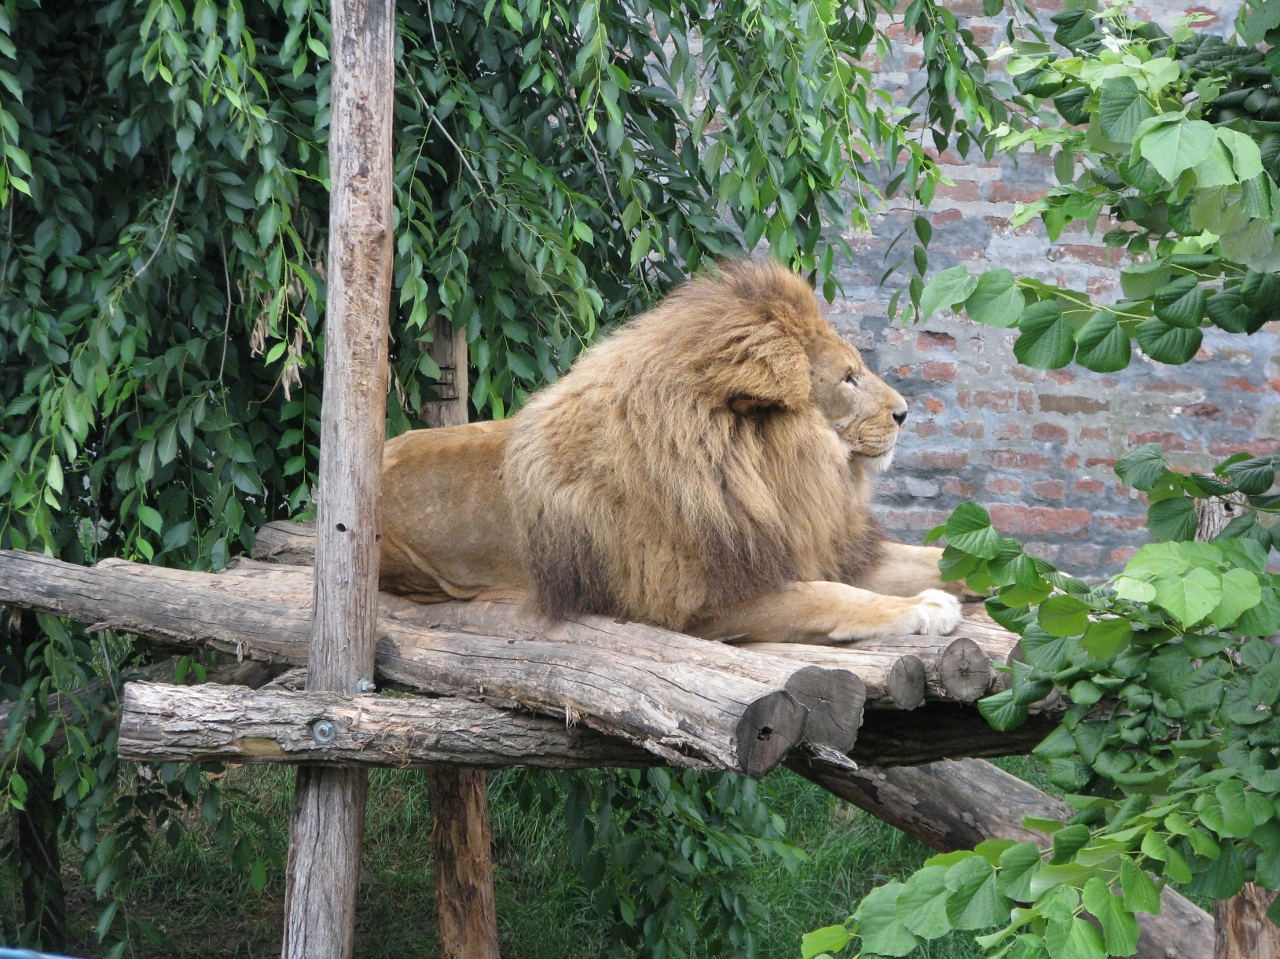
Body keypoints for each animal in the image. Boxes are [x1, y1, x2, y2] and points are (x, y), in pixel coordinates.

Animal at [379, 260, 963, 643]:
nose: (905, 413)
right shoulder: (701, 601)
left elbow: (935, 558)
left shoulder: (814, 544)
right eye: (848, 378)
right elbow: (828, 597)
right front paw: (924, 608)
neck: (775, 474)